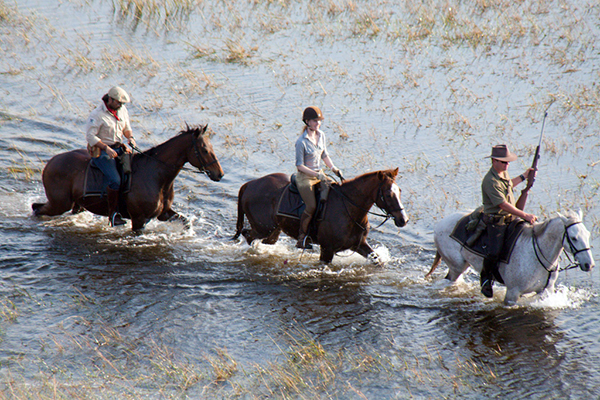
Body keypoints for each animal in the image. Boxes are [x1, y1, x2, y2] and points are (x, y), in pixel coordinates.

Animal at [31, 125, 223, 231]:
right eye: (204, 149)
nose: (219, 174)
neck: (156, 176)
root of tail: (51, 163)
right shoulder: (139, 219)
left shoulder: (164, 213)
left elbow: (186, 222)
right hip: (59, 204)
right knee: (37, 209)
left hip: (76, 204)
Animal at [232, 168, 410, 264]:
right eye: (388, 194)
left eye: (400, 191)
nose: (403, 220)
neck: (349, 208)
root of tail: (249, 184)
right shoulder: (327, 250)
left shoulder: (358, 244)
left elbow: (377, 261)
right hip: (263, 228)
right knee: (248, 235)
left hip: (273, 232)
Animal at [428, 209, 592, 306]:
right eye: (574, 238)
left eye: (588, 235)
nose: (589, 265)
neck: (537, 254)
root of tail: (440, 223)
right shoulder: (512, 294)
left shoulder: (546, 291)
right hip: (456, 267)